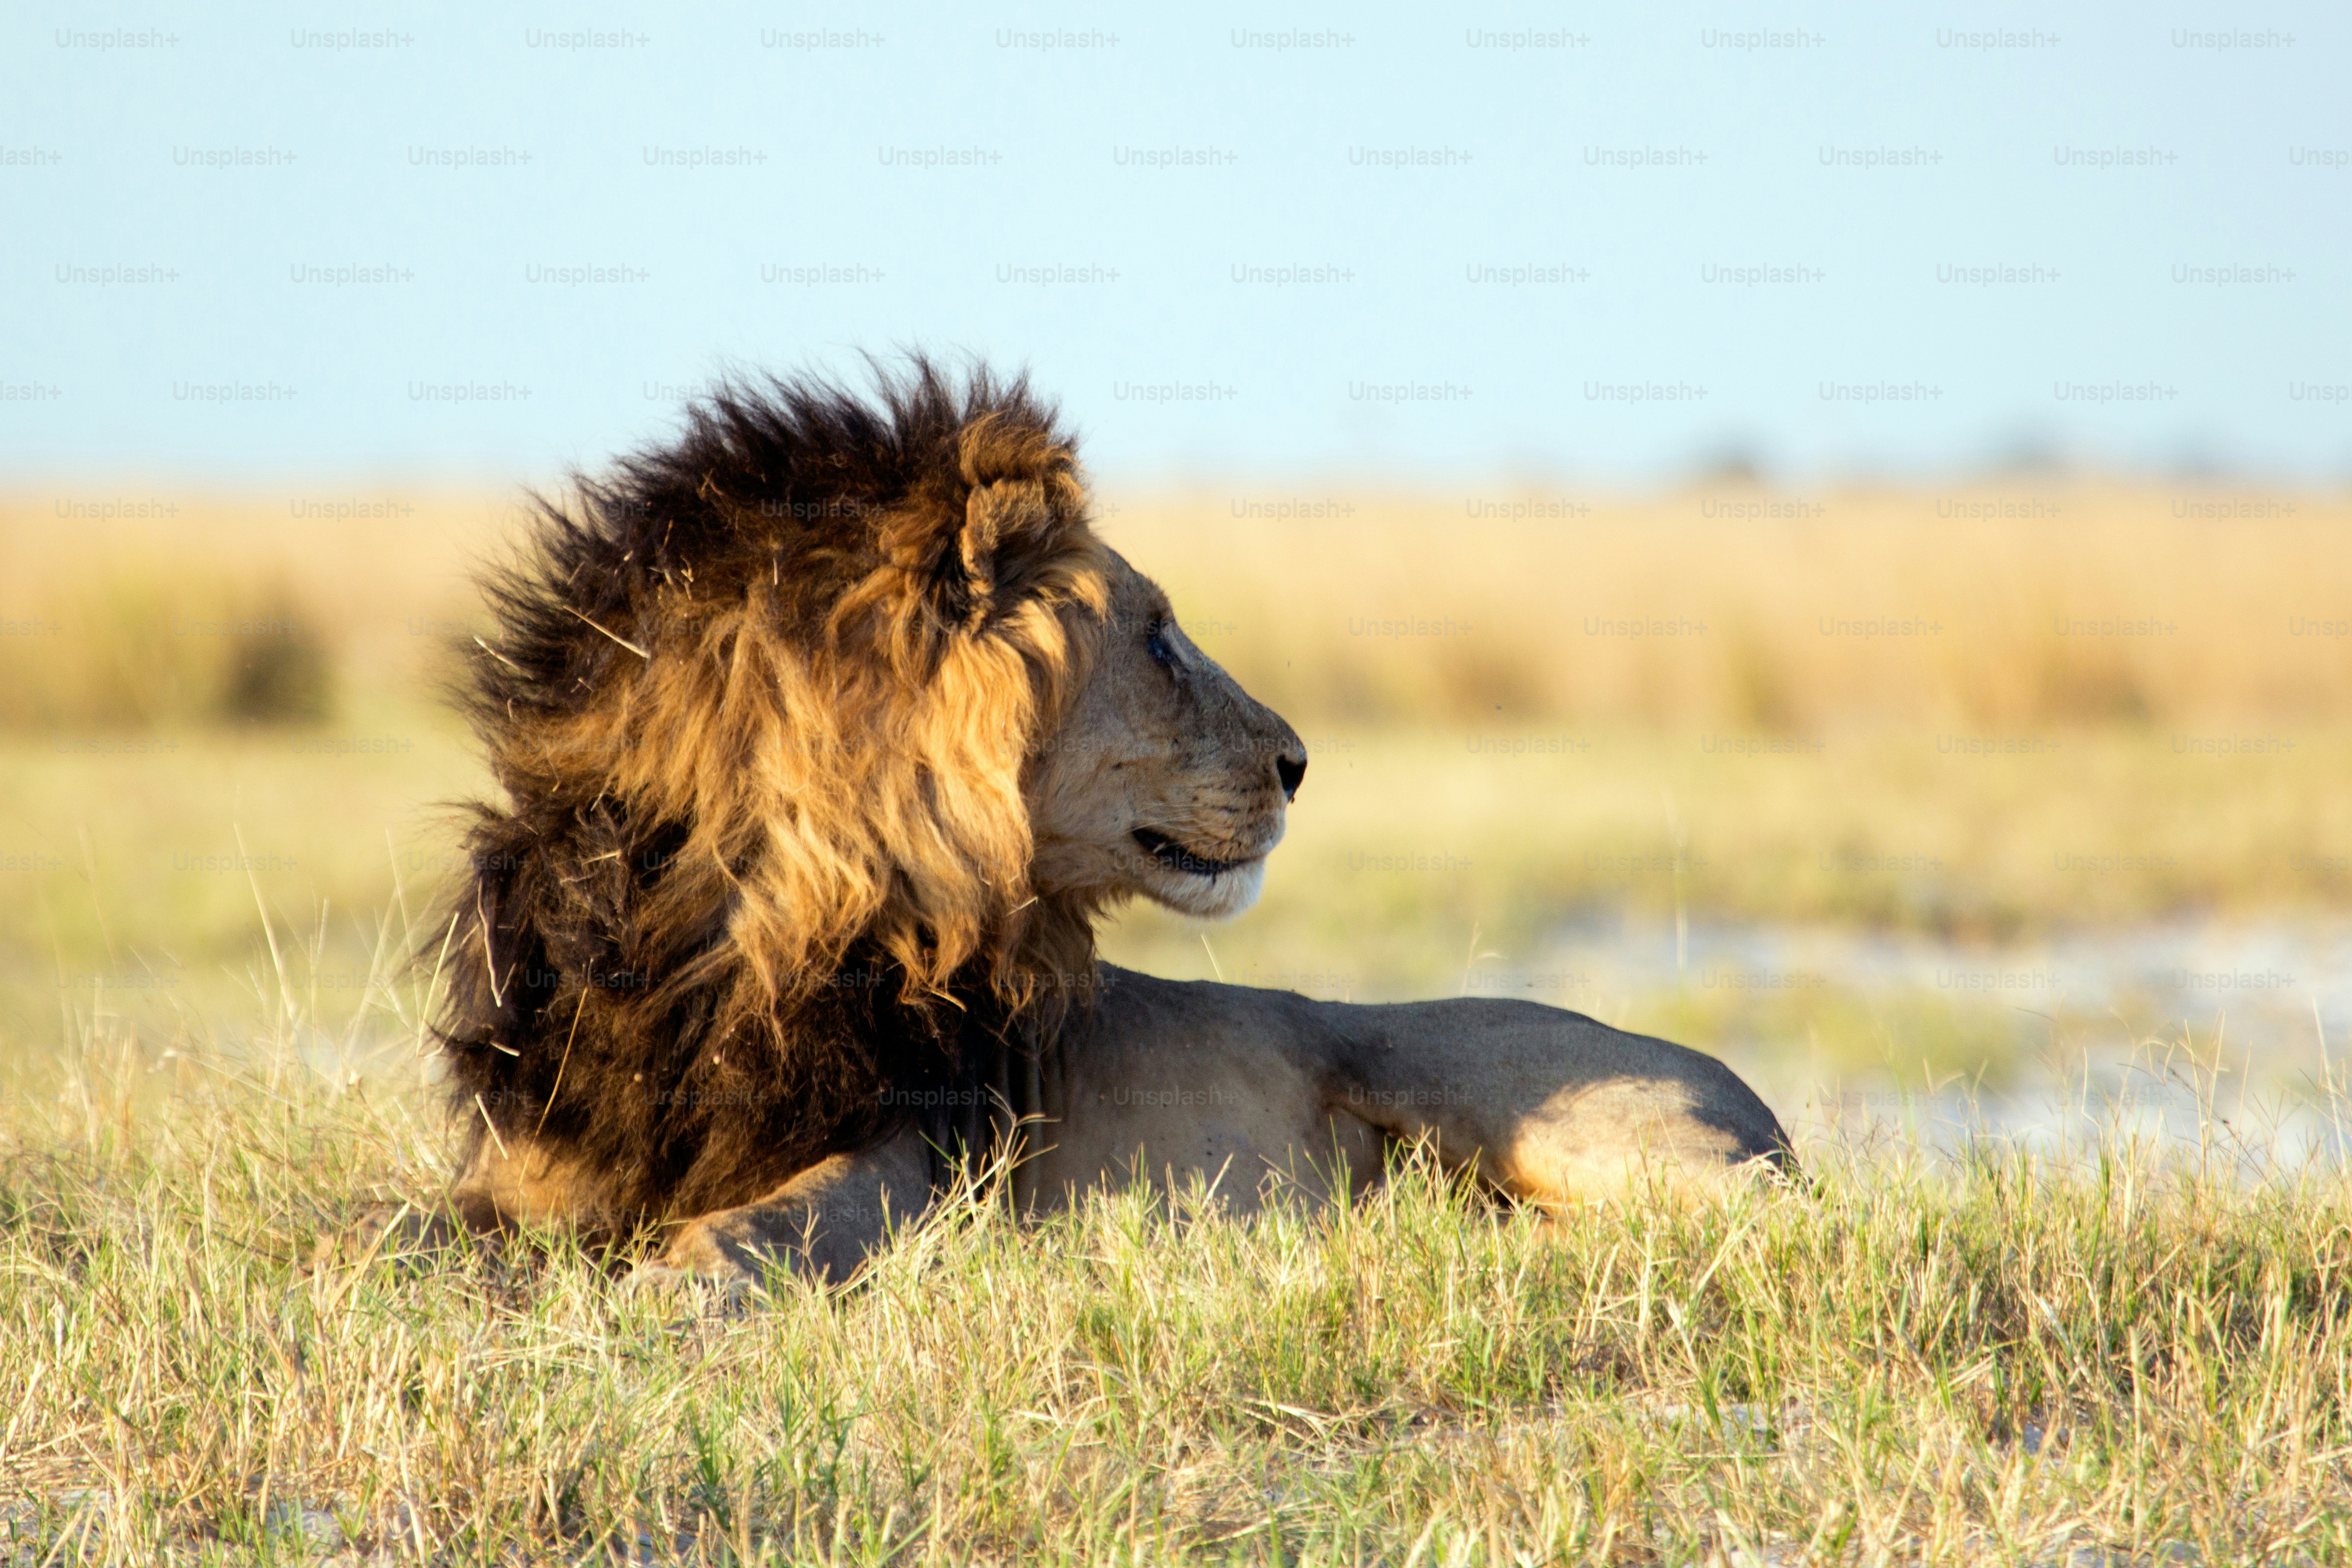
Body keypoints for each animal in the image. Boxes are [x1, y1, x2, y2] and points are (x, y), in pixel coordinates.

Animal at [416, 360, 1790, 1290]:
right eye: (1157, 637)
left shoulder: (924, 1156)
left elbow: (778, 1217)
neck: (743, 911)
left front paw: (674, 1284)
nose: (1300, 764)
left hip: (1531, 1103)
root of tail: (1755, 1100)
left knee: (1779, 1215)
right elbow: (401, 1228)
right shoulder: (530, 1155)